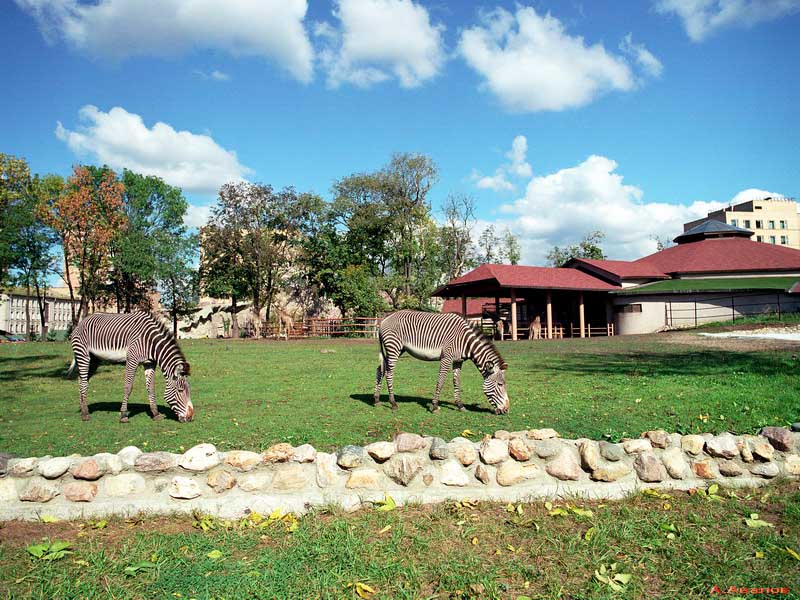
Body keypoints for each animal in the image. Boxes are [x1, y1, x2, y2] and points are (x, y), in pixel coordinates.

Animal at [372, 310, 510, 412]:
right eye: (500, 384)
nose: (507, 410)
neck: (466, 342)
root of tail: (385, 319)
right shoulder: (446, 358)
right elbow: (441, 380)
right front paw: (434, 406)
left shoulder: (458, 361)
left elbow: (456, 381)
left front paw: (460, 405)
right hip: (394, 347)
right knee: (389, 373)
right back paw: (393, 403)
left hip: (398, 349)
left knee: (380, 369)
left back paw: (377, 400)